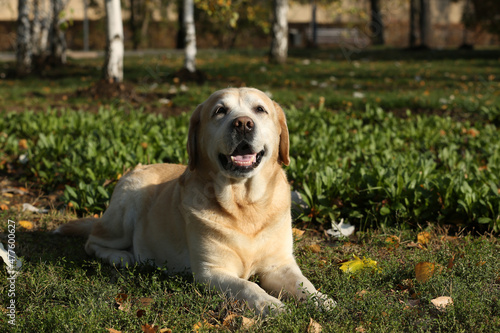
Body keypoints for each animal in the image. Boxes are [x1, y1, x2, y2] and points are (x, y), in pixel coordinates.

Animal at [56, 87, 334, 316]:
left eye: (260, 109)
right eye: (220, 111)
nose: (243, 124)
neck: (245, 204)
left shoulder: (280, 265)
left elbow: (303, 284)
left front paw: (321, 299)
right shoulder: (211, 271)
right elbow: (248, 287)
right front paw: (269, 304)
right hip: (127, 206)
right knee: (93, 241)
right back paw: (122, 257)